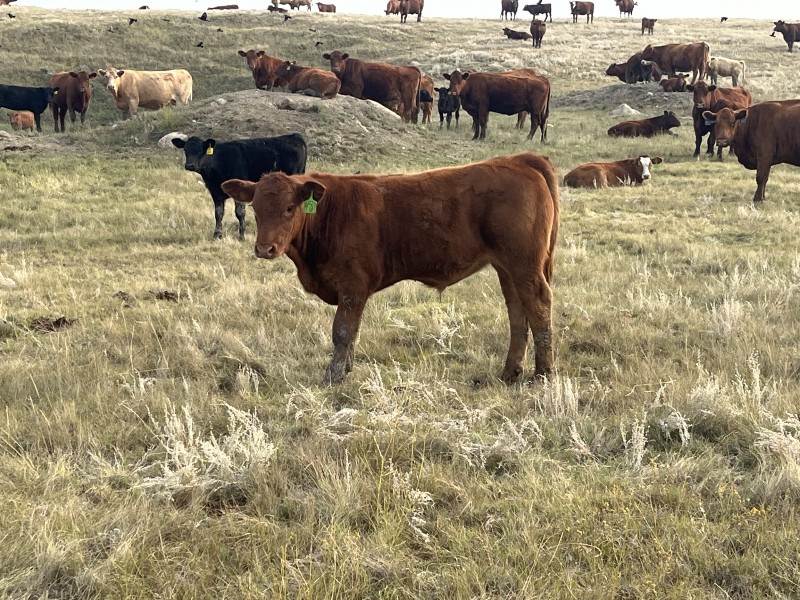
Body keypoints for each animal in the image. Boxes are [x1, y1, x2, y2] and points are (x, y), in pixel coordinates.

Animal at [172, 134, 307, 240]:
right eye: (185, 150)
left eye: (200, 151)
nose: (190, 165)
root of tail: (295, 136)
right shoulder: (215, 192)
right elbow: (218, 213)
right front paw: (217, 235)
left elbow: (239, 213)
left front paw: (242, 236)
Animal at [221, 152, 559, 384]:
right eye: (256, 208)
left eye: (290, 208)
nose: (264, 249)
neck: (330, 213)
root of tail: (519, 160)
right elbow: (352, 332)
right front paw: (346, 368)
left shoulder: (353, 286)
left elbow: (342, 331)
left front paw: (334, 375)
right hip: (507, 267)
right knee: (518, 313)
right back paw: (510, 372)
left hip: (524, 265)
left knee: (539, 307)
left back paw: (543, 374)